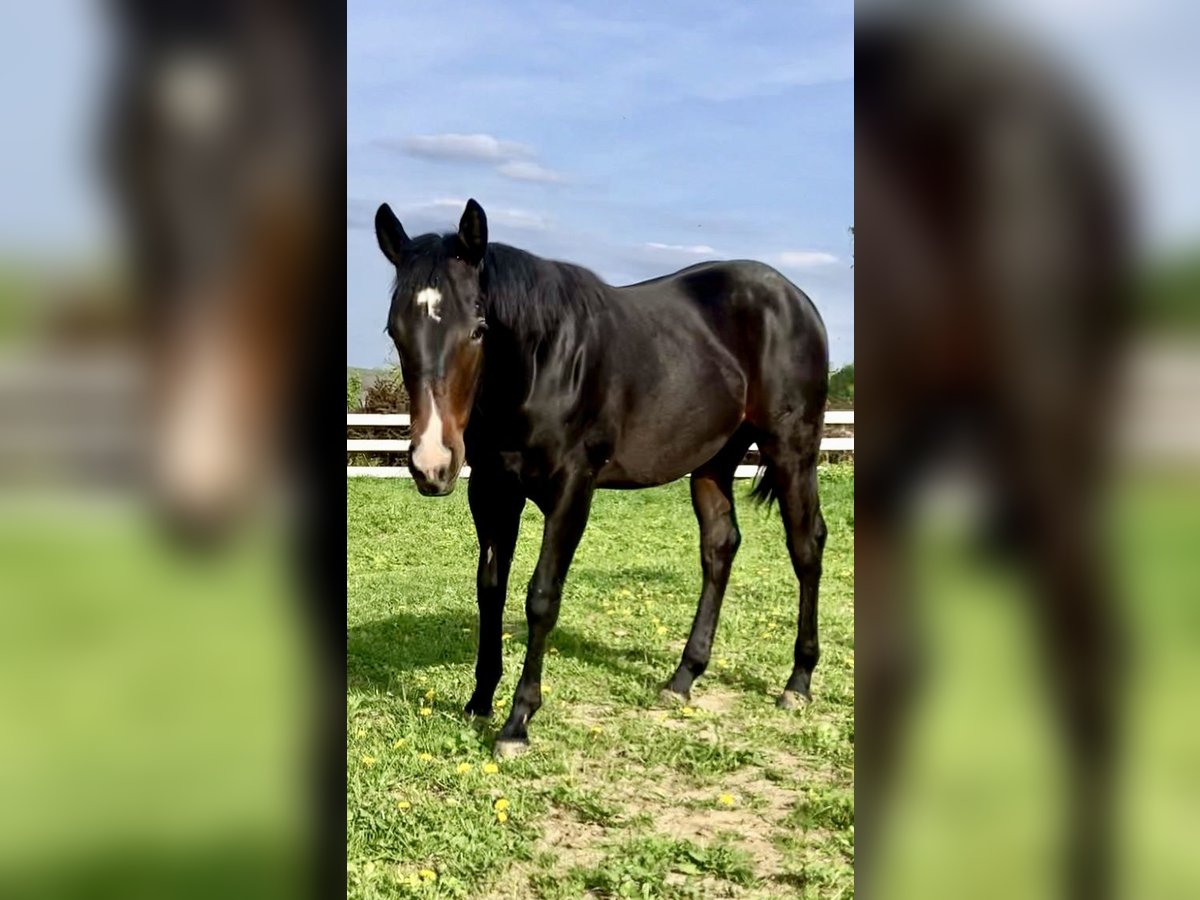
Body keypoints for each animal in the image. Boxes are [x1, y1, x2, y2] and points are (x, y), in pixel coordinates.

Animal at [376, 200, 835, 758]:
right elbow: (490, 589)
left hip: (792, 450)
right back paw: (683, 678)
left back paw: (798, 683)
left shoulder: (572, 490)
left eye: (478, 328)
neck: (543, 361)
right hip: (713, 461)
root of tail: (794, 298)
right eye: (396, 332)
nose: (432, 463)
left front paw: (517, 722)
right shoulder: (492, 489)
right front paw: (479, 701)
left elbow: (542, 597)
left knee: (806, 546)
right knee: (719, 548)